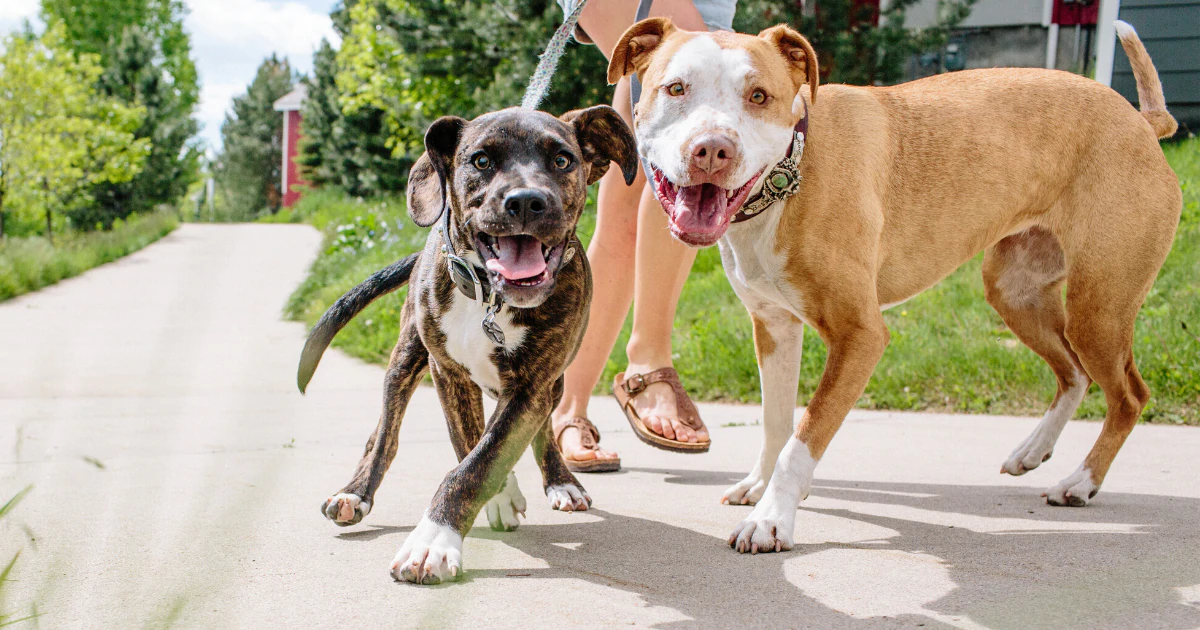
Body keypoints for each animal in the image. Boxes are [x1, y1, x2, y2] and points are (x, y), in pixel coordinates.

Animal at [296, 106, 638, 585]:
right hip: (405, 359)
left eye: (562, 160)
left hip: (550, 384)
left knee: (541, 428)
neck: (491, 298)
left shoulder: (532, 387)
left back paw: (561, 481)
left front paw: (433, 540)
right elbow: (470, 449)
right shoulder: (449, 376)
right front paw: (491, 503)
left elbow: (483, 456)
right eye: (480, 161)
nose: (525, 201)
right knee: (385, 434)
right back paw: (355, 492)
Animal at [609, 17, 1180, 552]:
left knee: (1128, 394)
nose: (712, 150)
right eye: (676, 88)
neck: (791, 169)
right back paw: (1032, 451)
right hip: (1014, 292)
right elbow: (775, 421)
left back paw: (1082, 481)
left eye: (758, 97)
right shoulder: (774, 328)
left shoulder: (860, 336)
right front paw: (760, 484)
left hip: (1098, 308)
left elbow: (805, 434)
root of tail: (1140, 120)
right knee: (1073, 373)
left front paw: (773, 519)